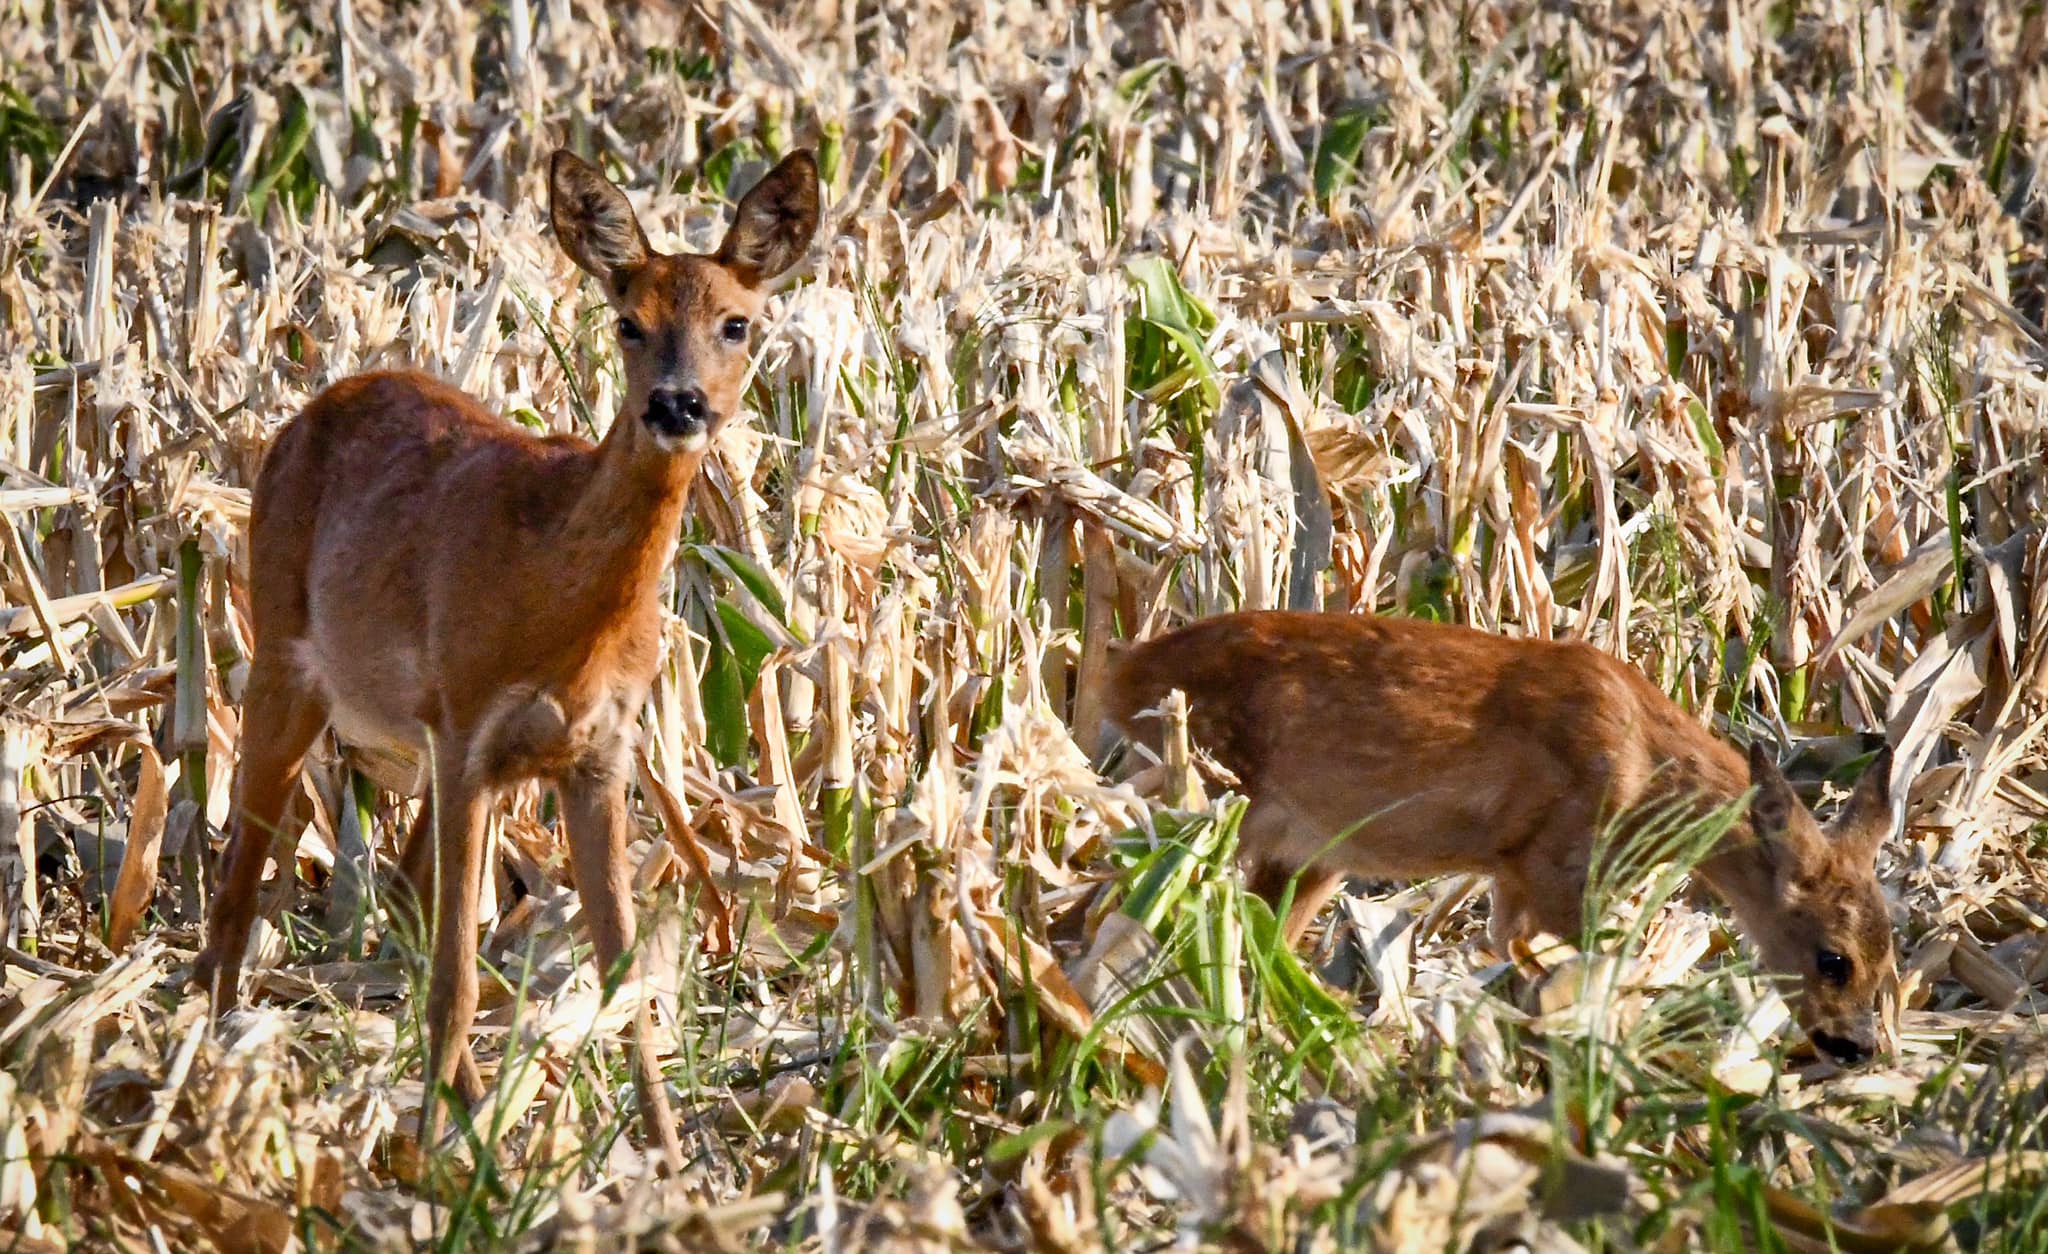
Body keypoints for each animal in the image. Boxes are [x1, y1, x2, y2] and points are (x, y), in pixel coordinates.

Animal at [193, 146, 823, 1163]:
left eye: (737, 322)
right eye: (628, 321)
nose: (677, 403)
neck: (561, 611)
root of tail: (317, 406)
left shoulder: (599, 754)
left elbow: (622, 981)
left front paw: (667, 1158)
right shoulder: (469, 732)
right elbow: (458, 982)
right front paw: (429, 1169)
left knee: (402, 895)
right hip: (288, 657)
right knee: (241, 878)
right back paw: (216, 1069)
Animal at [1114, 610, 1892, 1065]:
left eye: (1888, 958)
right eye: (1834, 959)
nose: (1858, 1047)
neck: (1643, 769)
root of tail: (1119, 671)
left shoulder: (1514, 873)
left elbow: (1520, 972)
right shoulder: (1560, 863)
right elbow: (1585, 979)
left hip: (1306, 852)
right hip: (1194, 797)